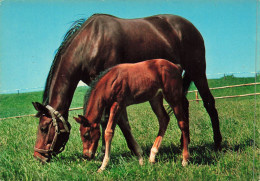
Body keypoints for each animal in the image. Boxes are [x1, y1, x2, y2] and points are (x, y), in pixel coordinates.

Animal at [31, 13, 221, 162]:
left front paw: (107, 153)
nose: (38, 156)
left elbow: (110, 120)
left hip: (197, 70)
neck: (90, 41)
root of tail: (190, 26)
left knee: (209, 103)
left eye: (44, 128)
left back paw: (217, 143)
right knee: (184, 106)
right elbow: (117, 121)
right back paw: (184, 144)